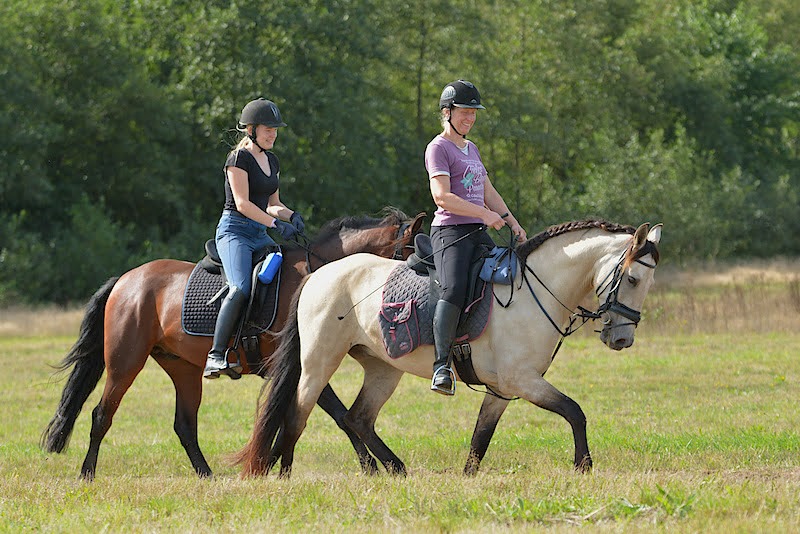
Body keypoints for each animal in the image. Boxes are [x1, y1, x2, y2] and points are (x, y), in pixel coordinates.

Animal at [41, 207, 426, 480]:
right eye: (413, 254)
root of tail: (125, 279)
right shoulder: (297, 364)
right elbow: (337, 413)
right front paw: (374, 466)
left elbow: (329, 413)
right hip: (126, 362)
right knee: (102, 414)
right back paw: (87, 473)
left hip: (182, 368)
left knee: (184, 425)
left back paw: (207, 476)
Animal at [235, 219, 662, 478]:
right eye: (633, 279)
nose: (622, 339)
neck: (534, 291)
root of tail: (318, 274)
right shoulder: (521, 381)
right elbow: (575, 412)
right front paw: (583, 466)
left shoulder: (502, 390)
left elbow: (480, 438)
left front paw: (467, 479)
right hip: (318, 362)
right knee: (298, 414)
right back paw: (286, 474)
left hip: (383, 368)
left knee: (358, 418)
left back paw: (395, 469)